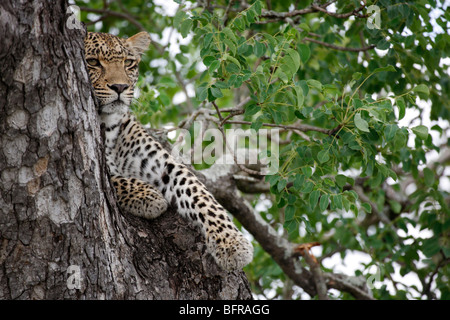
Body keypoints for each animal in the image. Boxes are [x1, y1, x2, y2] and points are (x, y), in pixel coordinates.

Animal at [84, 31, 253, 270]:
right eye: (92, 62)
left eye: (128, 63)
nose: (120, 87)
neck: (108, 124)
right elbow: (113, 178)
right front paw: (147, 196)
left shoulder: (160, 162)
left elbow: (196, 190)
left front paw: (231, 242)